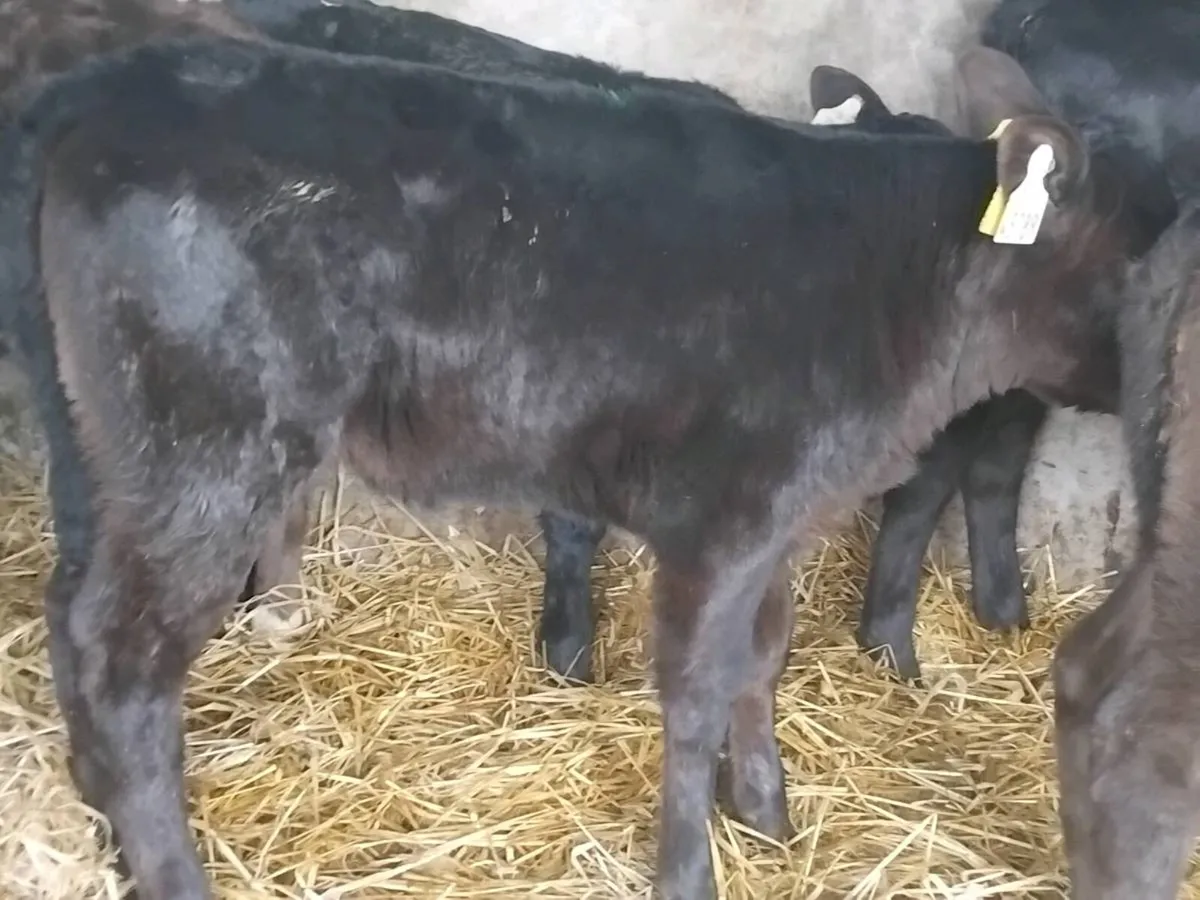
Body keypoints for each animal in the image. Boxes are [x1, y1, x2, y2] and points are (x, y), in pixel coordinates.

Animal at [0, 33, 1159, 897]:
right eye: (1146, 259)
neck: (900, 279)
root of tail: (99, 90)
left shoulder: (782, 518)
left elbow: (764, 659)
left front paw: (769, 817)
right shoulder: (723, 521)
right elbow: (696, 690)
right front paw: (692, 869)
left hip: (103, 453)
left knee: (69, 620)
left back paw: (103, 830)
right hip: (206, 456)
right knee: (122, 662)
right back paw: (168, 871)